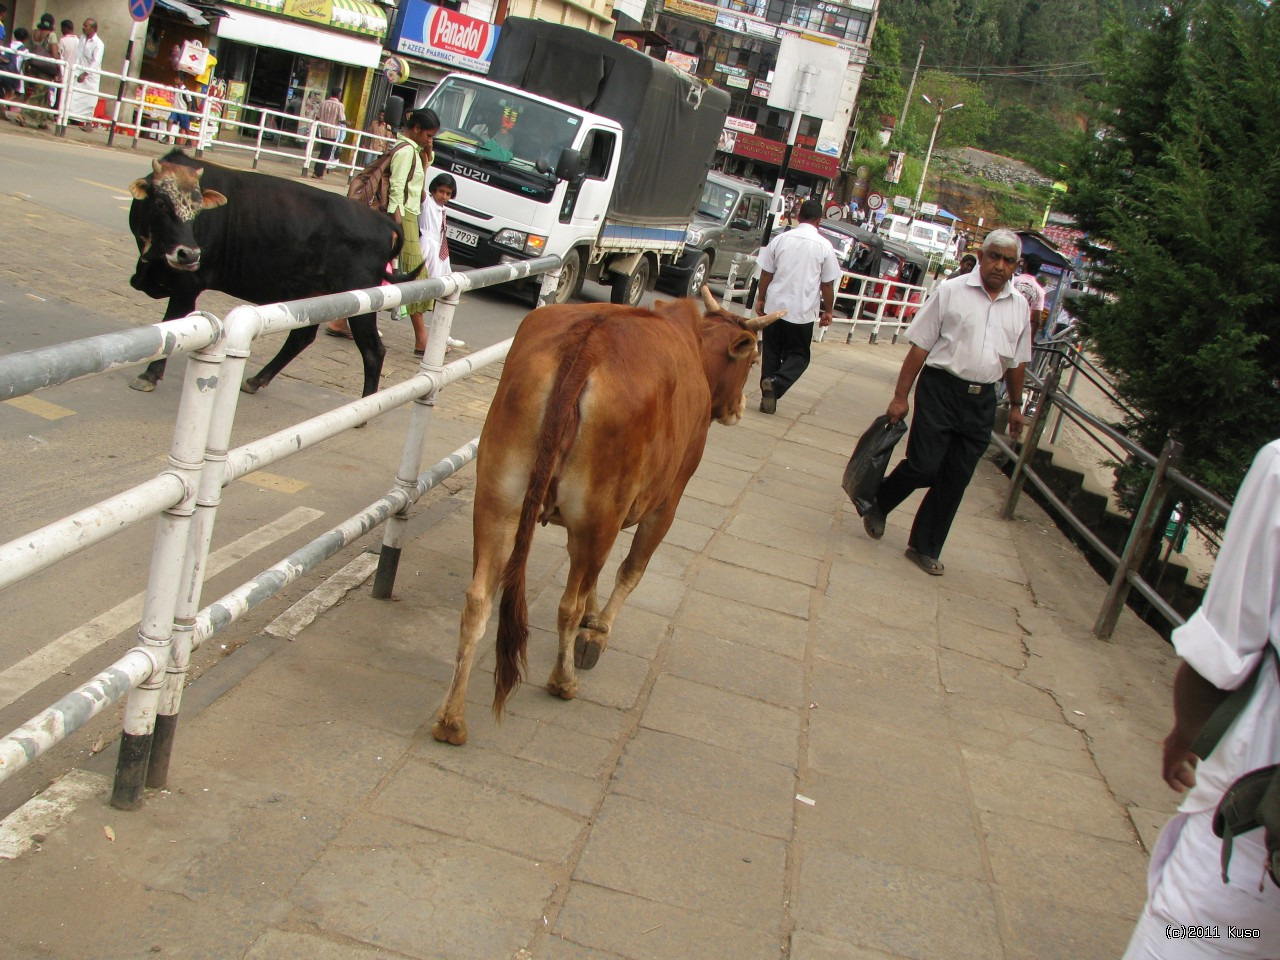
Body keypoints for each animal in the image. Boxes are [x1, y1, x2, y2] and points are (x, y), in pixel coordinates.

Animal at [124, 152, 417, 399]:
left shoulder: (188, 284)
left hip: (362, 304)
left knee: (373, 350)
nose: (190, 254)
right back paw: (256, 380)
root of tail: (384, 222)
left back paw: (367, 405)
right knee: (301, 338)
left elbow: (171, 327)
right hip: (317, 297)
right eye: (161, 203)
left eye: (198, 210)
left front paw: (149, 375)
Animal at [435, 289, 778, 747]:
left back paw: (451, 718)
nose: (739, 408)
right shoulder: (665, 503)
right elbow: (630, 572)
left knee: (479, 601)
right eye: (754, 360)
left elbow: (593, 581)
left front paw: (594, 619)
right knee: (567, 605)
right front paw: (597, 632)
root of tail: (589, 341)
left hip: (499, 503)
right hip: (598, 515)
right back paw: (562, 680)